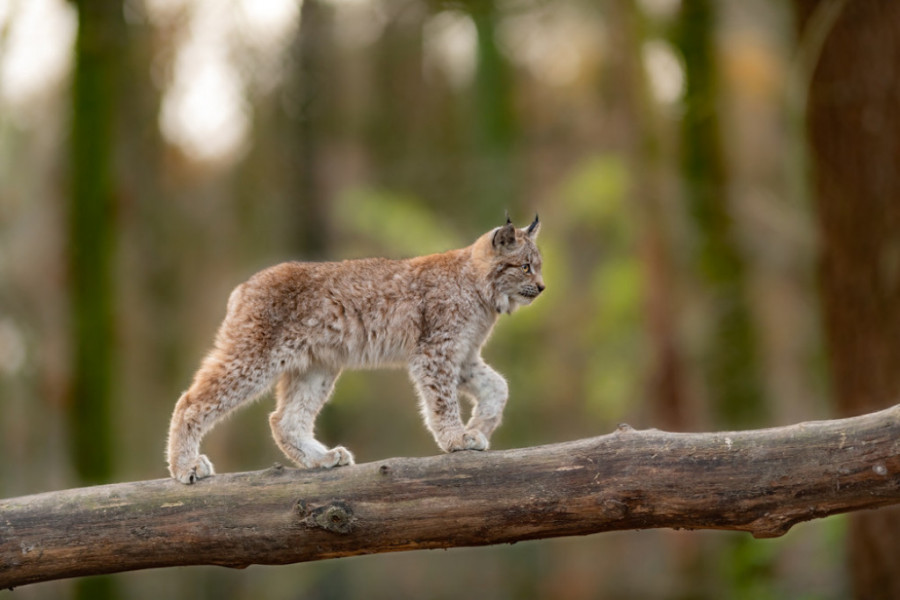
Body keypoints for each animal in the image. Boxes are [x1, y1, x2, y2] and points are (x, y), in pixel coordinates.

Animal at [166, 216, 544, 482]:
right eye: (525, 267)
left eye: (538, 267)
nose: (542, 287)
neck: (483, 292)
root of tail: (245, 285)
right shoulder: (434, 352)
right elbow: (442, 402)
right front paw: (456, 439)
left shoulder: (463, 356)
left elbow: (499, 386)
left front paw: (480, 428)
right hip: (255, 358)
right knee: (189, 401)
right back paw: (185, 466)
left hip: (317, 365)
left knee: (282, 420)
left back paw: (320, 459)